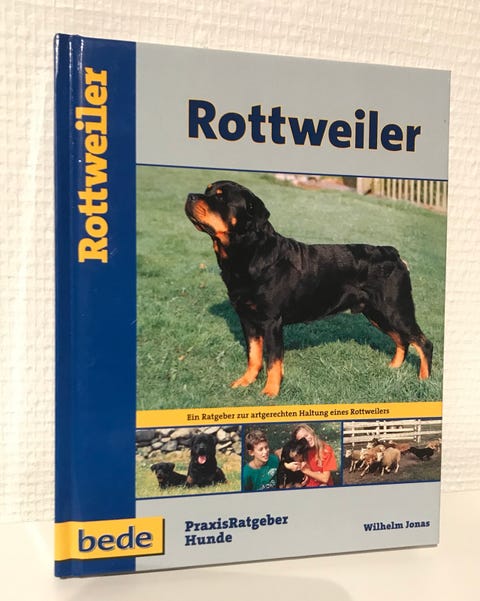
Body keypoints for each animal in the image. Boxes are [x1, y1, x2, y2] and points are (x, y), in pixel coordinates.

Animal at [185, 180, 433, 397]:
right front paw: (245, 382)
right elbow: (254, 356)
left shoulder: (271, 321)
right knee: (402, 340)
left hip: (395, 309)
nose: (190, 196)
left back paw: (424, 380)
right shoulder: (247, 319)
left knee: (422, 342)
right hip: (377, 313)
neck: (248, 254)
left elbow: (273, 360)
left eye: (220, 197)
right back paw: (394, 367)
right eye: (207, 191)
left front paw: (270, 392)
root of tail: (393, 254)